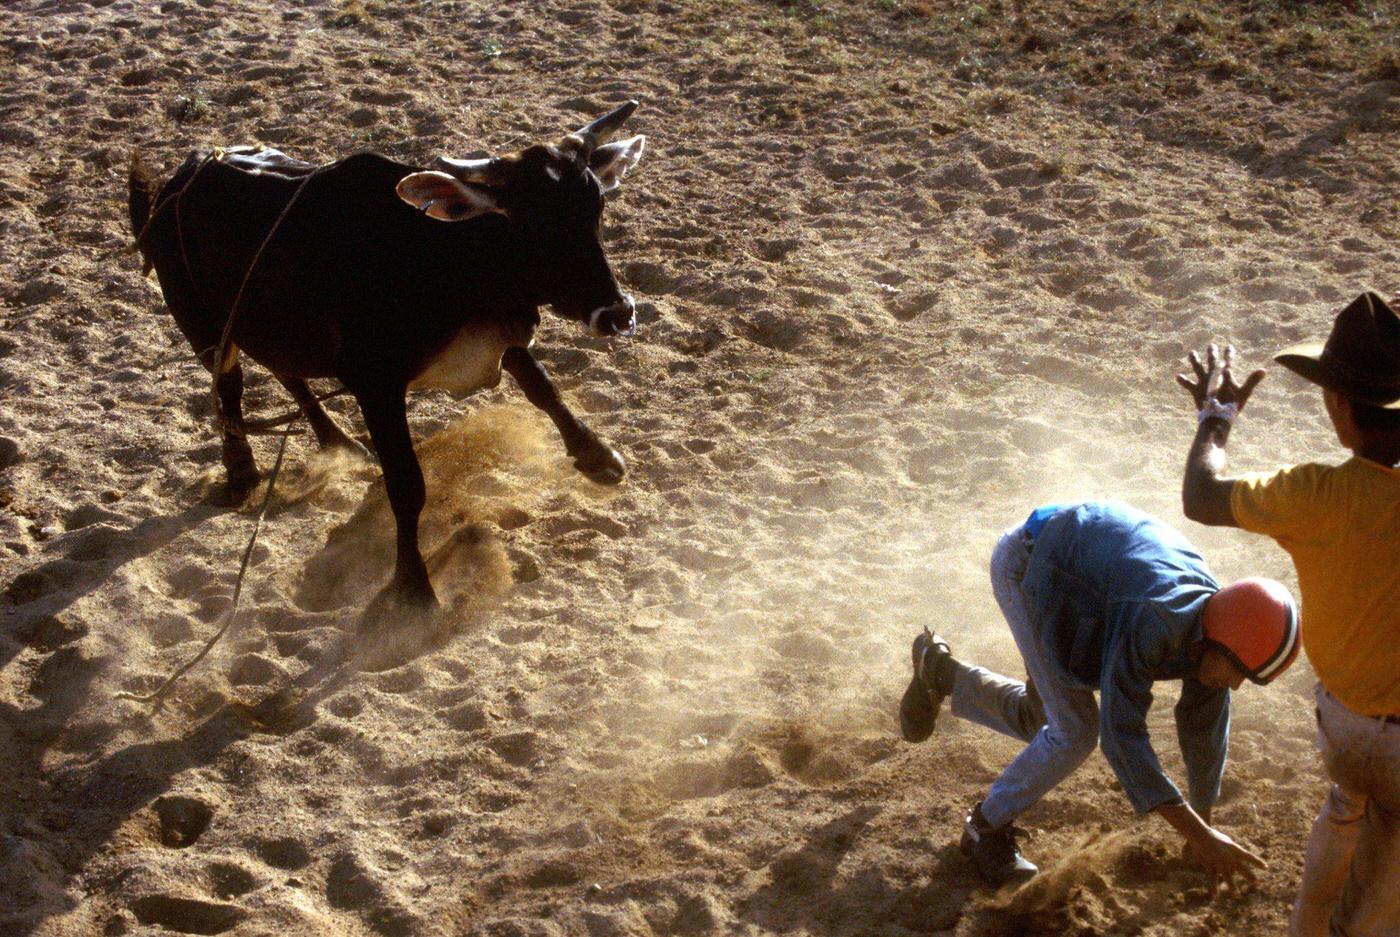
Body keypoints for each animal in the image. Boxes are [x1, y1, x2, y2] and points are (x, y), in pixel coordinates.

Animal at [127, 102, 649, 607]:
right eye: (532, 223)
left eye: (596, 207)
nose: (617, 312)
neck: (441, 256)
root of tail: (178, 178)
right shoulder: (375, 384)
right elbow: (406, 483)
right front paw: (412, 587)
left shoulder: (502, 332)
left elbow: (543, 388)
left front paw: (597, 456)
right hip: (202, 322)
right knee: (229, 386)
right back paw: (242, 472)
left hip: (272, 325)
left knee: (287, 372)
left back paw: (338, 441)